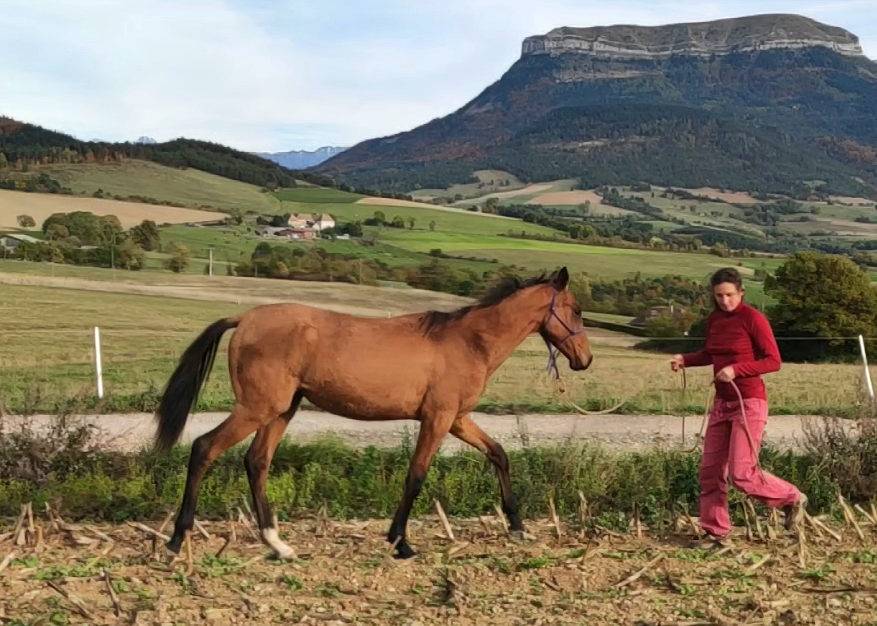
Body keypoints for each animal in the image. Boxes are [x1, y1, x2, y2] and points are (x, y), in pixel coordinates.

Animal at [154, 266, 592, 559]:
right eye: (576, 310)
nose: (584, 360)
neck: (469, 342)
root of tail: (244, 318)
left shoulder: (457, 419)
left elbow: (499, 454)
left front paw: (517, 527)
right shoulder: (437, 419)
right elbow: (415, 476)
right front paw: (401, 542)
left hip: (280, 411)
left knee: (256, 461)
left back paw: (277, 543)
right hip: (257, 407)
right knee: (205, 448)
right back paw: (177, 540)